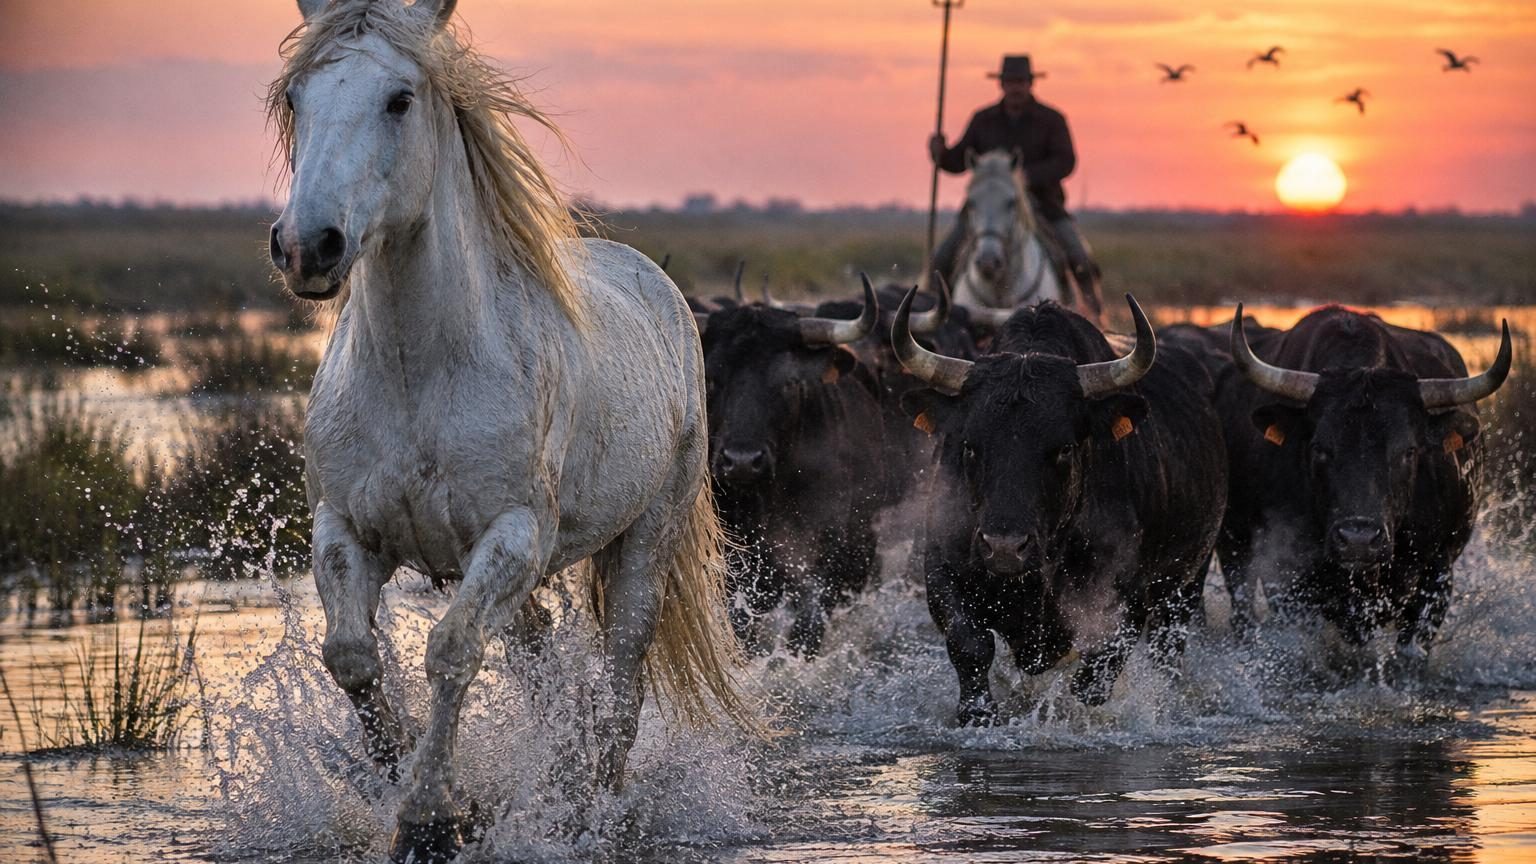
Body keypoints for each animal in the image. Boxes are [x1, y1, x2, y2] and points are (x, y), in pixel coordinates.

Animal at [268, 1, 749, 860]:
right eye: (297, 97)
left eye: (399, 99)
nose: (305, 246)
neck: (419, 373)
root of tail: (657, 285)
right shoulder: (347, 528)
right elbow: (351, 655)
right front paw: (402, 780)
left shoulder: (515, 533)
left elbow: (451, 652)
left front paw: (430, 820)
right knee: (540, 662)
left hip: (645, 536)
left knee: (620, 678)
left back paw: (590, 808)